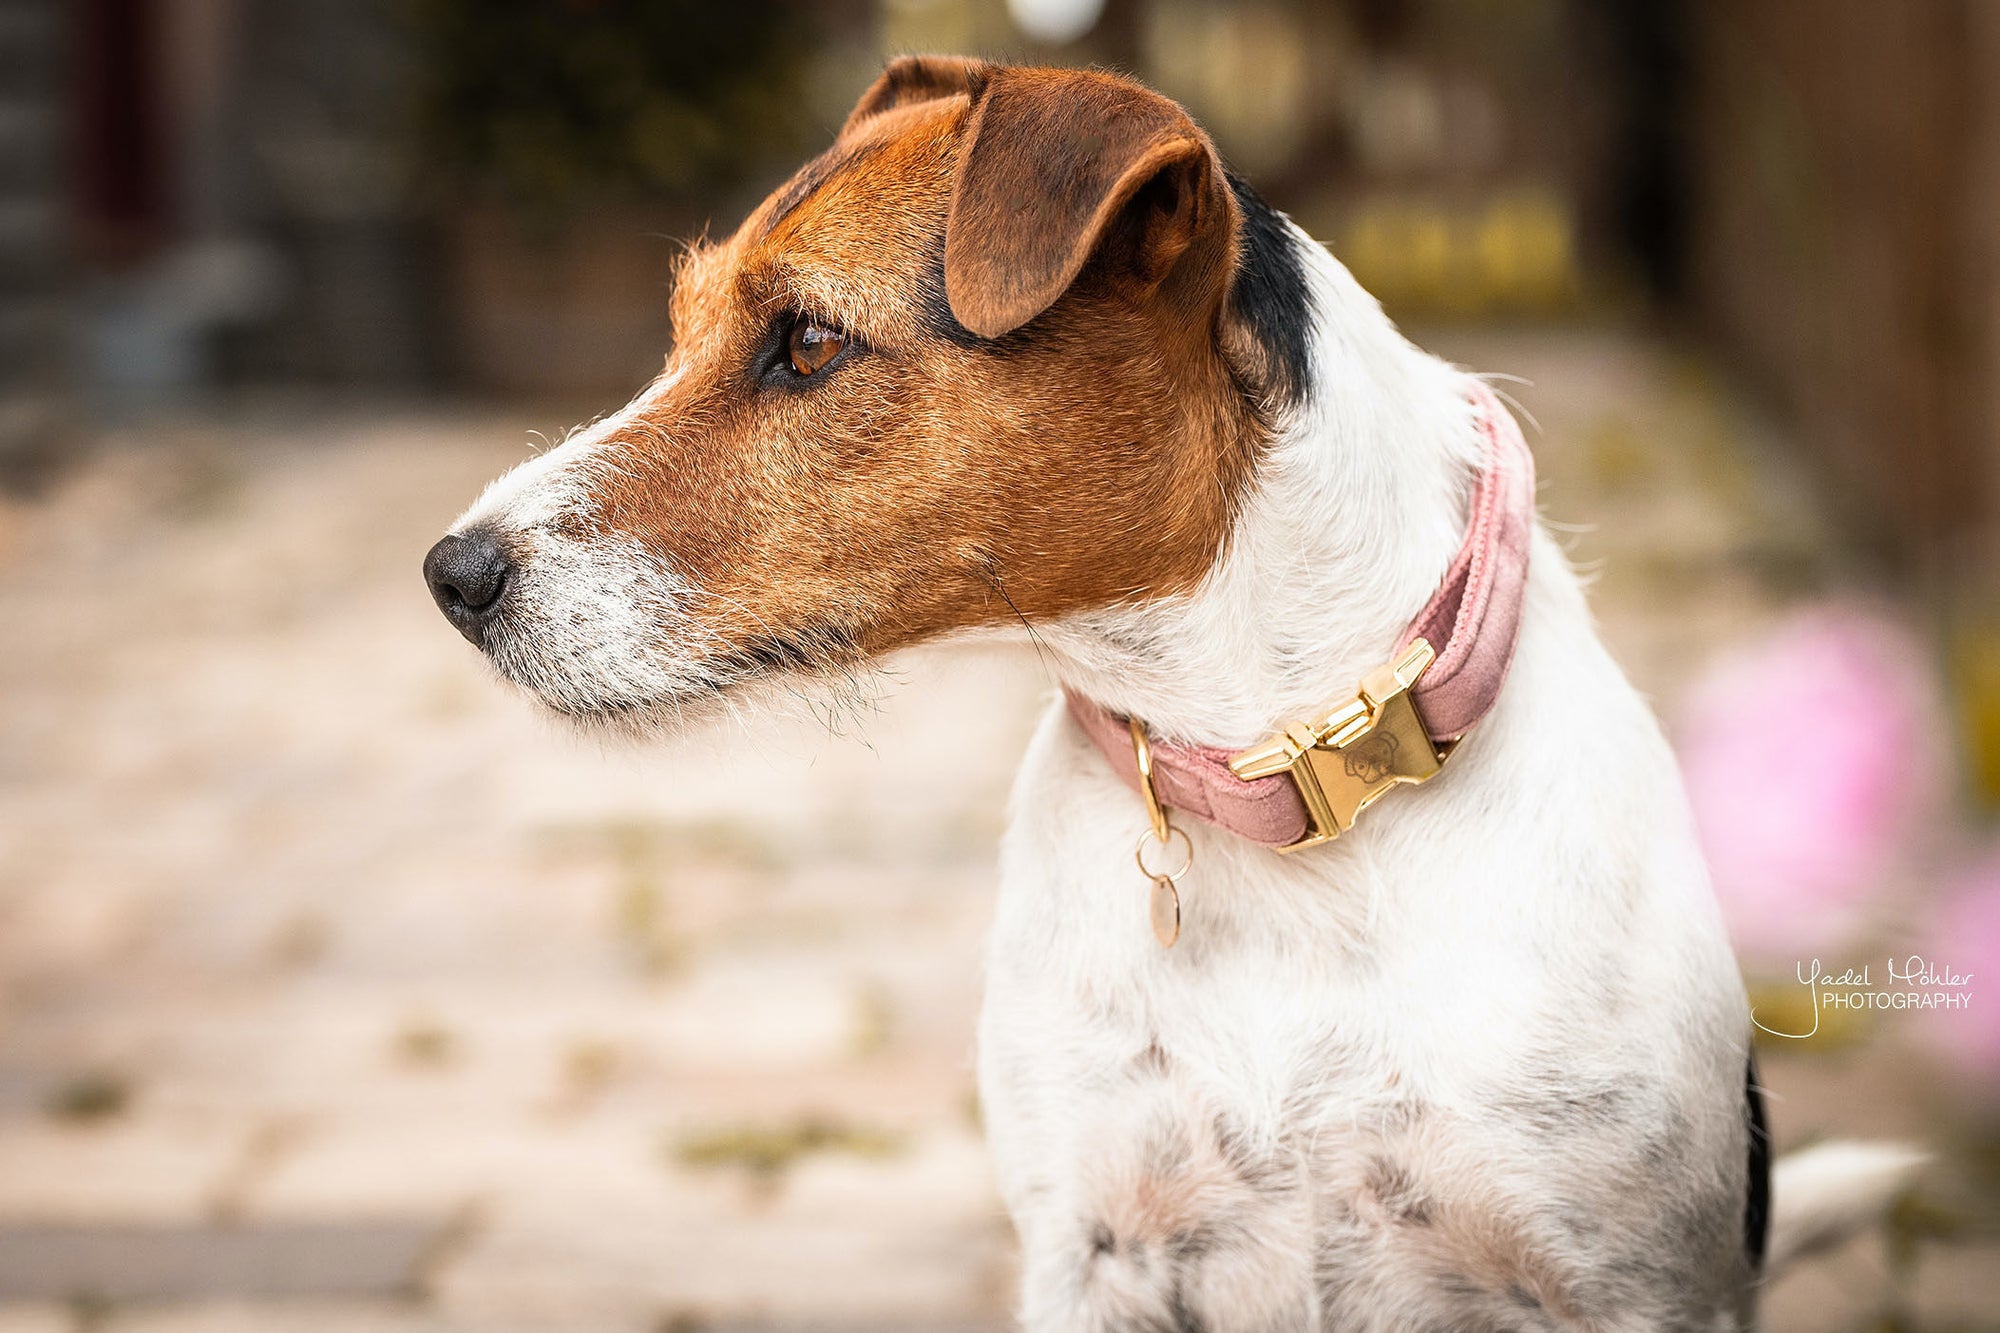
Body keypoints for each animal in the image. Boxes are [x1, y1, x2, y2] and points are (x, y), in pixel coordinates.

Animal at [430, 54, 1928, 1328]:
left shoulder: (1626, 1275)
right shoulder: (1091, 1247)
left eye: (806, 341)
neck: (1285, 775)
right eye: (681, 327)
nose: (452, 574)